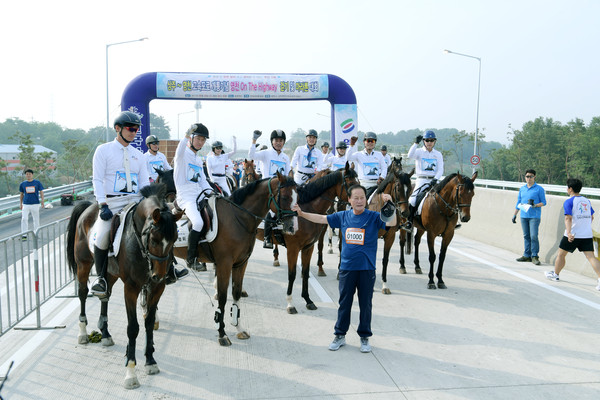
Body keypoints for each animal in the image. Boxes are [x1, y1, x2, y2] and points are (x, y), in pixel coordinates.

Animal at [65, 184, 179, 388]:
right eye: (154, 239)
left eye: (174, 239)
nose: (158, 275)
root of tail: (89, 207)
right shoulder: (131, 288)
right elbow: (133, 328)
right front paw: (131, 372)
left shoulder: (157, 288)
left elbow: (149, 322)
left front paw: (150, 361)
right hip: (83, 264)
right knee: (83, 293)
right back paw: (83, 333)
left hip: (110, 273)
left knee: (105, 295)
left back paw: (105, 333)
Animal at [170, 173, 298, 346]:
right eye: (284, 197)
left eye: (298, 196)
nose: (293, 227)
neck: (238, 217)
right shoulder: (224, 264)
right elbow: (222, 298)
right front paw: (222, 334)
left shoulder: (241, 263)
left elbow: (236, 293)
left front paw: (238, 328)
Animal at [255, 164, 358, 314]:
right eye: (350, 183)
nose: (363, 203)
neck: (307, 211)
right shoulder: (293, 248)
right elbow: (292, 274)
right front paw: (290, 304)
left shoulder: (308, 247)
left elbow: (305, 272)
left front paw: (308, 300)